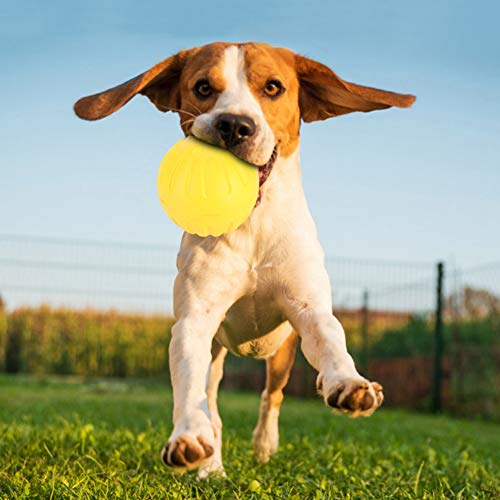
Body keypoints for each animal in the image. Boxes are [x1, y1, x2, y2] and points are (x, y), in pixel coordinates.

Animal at [73, 42, 414, 476]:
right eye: (203, 87)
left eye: (273, 87)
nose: (234, 125)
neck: (251, 226)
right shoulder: (195, 322)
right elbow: (191, 388)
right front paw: (188, 438)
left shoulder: (308, 308)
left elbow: (330, 339)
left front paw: (348, 384)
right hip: (218, 354)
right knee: (214, 404)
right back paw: (211, 465)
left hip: (283, 353)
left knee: (273, 395)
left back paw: (268, 443)